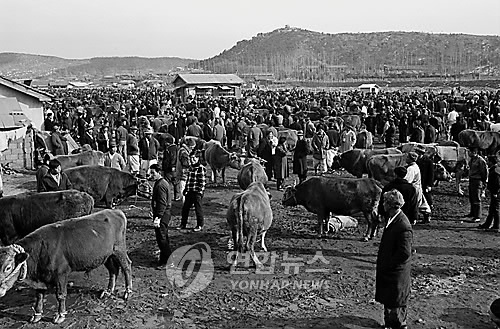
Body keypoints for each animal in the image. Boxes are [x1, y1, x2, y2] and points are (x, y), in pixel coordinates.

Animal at [0, 209, 133, 322]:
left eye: (8, 267)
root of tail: (116, 211)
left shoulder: (61, 273)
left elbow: (61, 295)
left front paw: (60, 315)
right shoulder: (41, 278)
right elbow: (39, 296)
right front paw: (37, 315)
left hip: (119, 249)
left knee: (126, 266)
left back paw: (127, 291)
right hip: (106, 255)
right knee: (113, 270)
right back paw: (108, 291)